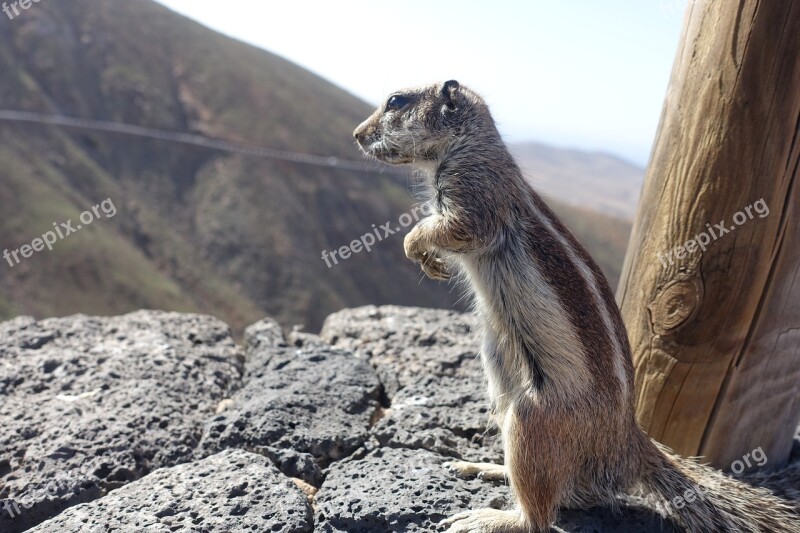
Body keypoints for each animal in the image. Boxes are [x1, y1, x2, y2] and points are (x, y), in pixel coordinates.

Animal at [354, 80, 796, 532]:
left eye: (396, 101)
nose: (356, 135)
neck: (469, 144)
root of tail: (627, 445)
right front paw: (427, 259)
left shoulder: (475, 197)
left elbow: (449, 228)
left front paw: (415, 246)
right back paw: (488, 467)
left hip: (532, 419)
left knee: (539, 516)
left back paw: (489, 516)